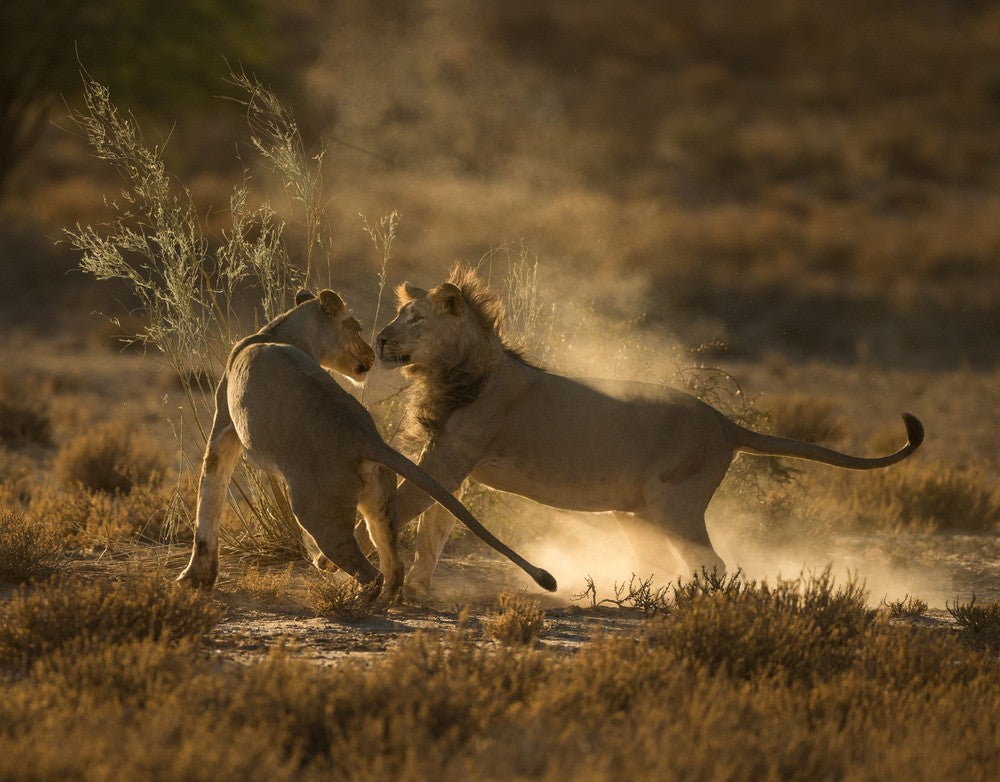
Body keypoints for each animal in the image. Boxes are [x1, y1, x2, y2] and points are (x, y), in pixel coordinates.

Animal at [176, 287, 556, 602]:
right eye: (357, 328)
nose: (373, 353)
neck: (280, 332)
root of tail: (367, 437)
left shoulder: (224, 428)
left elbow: (209, 497)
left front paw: (194, 578)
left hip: (318, 511)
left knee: (366, 569)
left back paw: (357, 601)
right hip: (379, 503)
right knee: (392, 563)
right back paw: (386, 599)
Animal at [375, 265, 924, 593]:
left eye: (415, 319)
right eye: (400, 315)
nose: (379, 338)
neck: (452, 371)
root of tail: (725, 422)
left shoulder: (450, 456)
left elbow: (404, 505)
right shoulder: (452, 467)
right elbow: (433, 529)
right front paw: (416, 592)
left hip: (673, 500)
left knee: (711, 563)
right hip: (635, 512)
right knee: (669, 561)